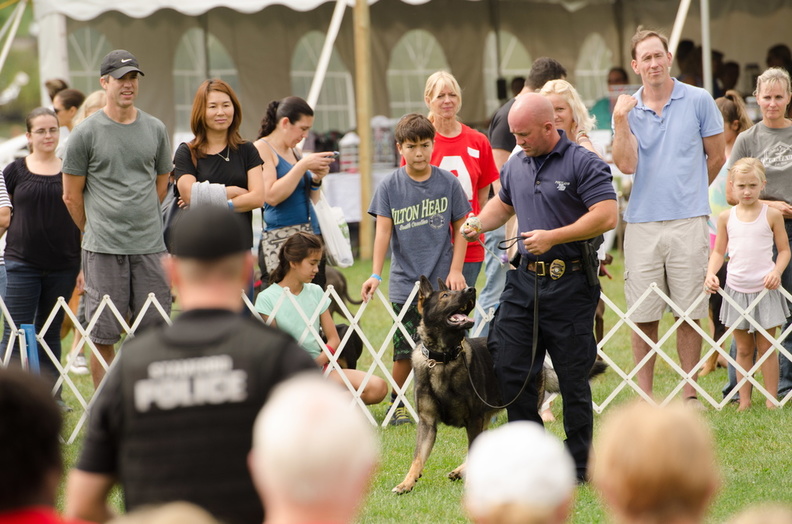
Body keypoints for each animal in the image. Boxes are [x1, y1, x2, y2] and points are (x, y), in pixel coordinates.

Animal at [392, 276, 608, 494]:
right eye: (445, 295)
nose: (471, 290)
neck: (443, 359)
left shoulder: (474, 420)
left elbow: (471, 451)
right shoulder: (428, 423)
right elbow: (418, 457)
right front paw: (407, 483)